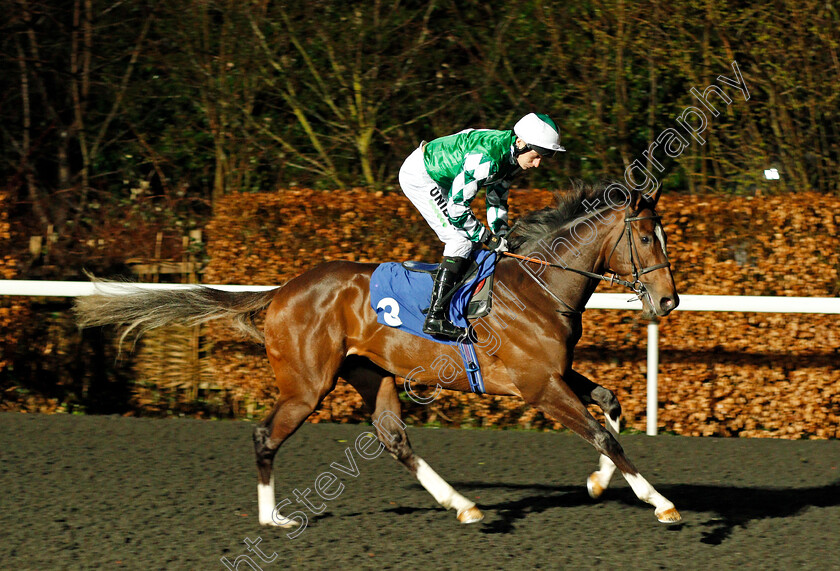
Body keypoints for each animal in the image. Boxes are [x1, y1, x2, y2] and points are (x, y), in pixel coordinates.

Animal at [74, 181, 684, 528]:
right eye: (645, 238)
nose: (668, 300)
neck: (537, 286)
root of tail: (283, 290)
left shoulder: (555, 373)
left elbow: (611, 404)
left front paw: (599, 483)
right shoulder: (538, 385)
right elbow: (601, 430)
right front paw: (659, 502)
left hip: (372, 372)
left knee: (393, 437)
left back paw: (462, 504)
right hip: (307, 386)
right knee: (265, 435)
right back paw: (274, 519)